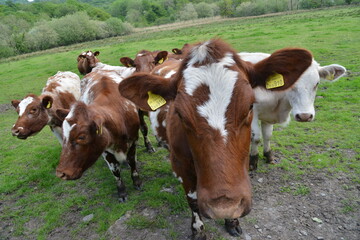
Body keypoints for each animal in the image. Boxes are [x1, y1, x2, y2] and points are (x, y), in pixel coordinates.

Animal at [55, 70, 141, 202]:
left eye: (82, 137)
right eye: (64, 135)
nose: (61, 173)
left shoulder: (133, 141)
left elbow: (132, 162)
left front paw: (136, 182)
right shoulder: (105, 150)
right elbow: (115, 170)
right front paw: (121, 191)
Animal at [119, 38, 312, 239]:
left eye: (250, 105)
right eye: (180, 114)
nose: (223, 206)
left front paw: (232, 221)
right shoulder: (182, 165)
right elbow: (193, 199)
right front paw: (198, 230)